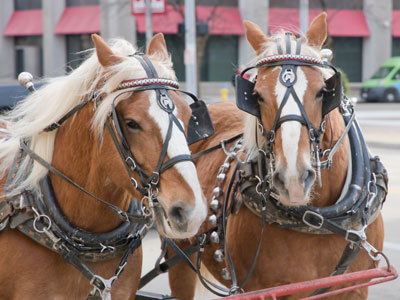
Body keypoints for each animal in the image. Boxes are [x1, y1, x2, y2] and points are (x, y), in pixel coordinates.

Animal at [170, 12, 388, 300]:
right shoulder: (262, 290)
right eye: (258, 96)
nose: (293, 180)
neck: (320, 221)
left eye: (322, 91)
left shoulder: (355, 288)